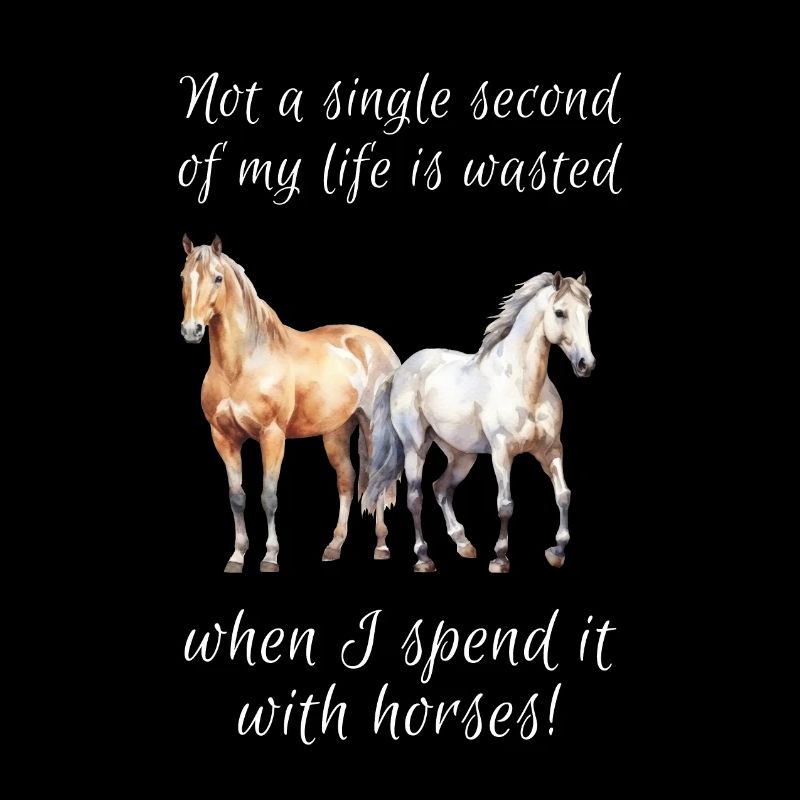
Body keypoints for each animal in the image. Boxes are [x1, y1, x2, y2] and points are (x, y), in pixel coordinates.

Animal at [179, 235, 401, 572]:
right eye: (183, 277)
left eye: (217, 278)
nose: (191, 331)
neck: (242, 364)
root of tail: (378, 345)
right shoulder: (224, 438)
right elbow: (236, 497)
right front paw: (237, 556)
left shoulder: (272, 436)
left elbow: (268, 497)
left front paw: (270, 557)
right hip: (336, 432)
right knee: (347, 480)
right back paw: (334, 546)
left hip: (373, 427)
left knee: (379, 477)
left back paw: (381, 545)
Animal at [363, 271, 595, 573]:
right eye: (559, 312)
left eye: (588, 312)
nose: (585, 364)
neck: (524, 387)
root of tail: (401, 371)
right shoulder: (502, 453)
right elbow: (505, 504)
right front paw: (500, 558)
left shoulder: (552, 450)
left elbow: (563, 495)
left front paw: (557, 552)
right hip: (415, 447)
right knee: (415, 498)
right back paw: (424, 558)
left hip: (462, 455)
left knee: (441, 488)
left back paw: (463, 544)